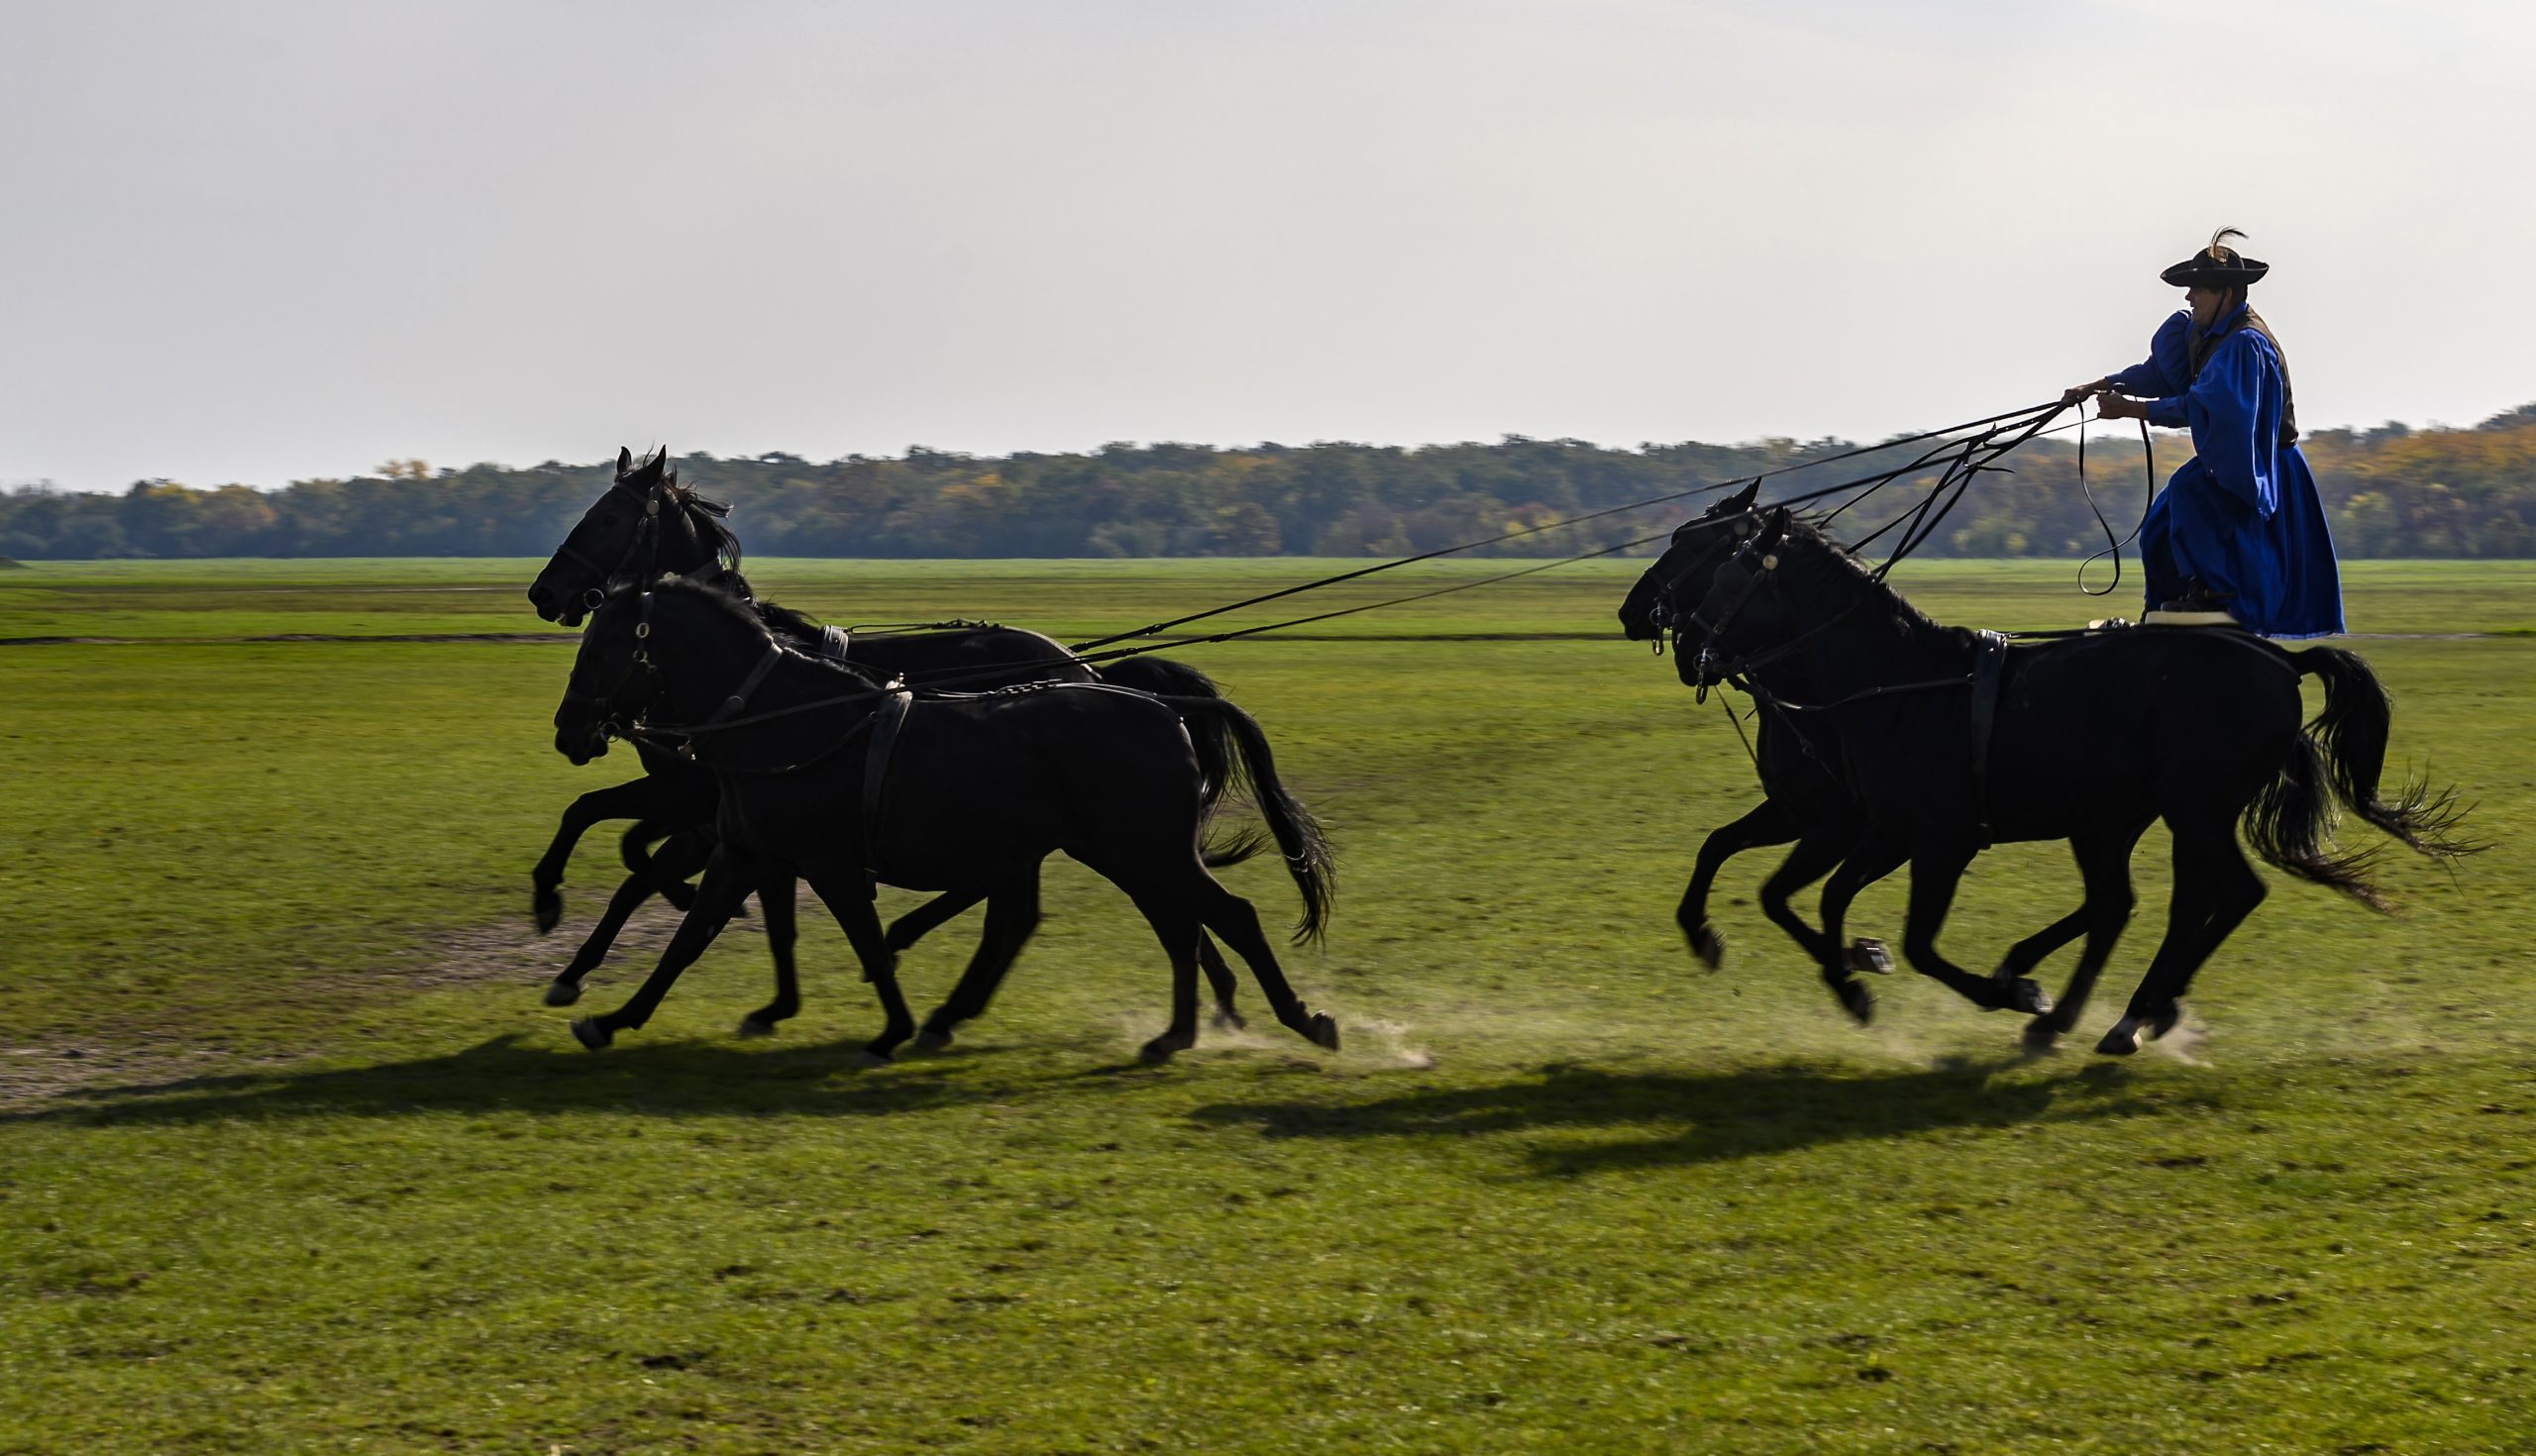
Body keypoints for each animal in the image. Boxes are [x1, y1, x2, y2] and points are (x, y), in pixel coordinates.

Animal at [555, 575, 1348, 1065]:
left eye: (605, 646)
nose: (570, 731)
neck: (787, 719)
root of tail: (1160, 705)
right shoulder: (742, 854)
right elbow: (686, 940)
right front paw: (613, 1017)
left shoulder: (830, 865)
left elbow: (867, 944)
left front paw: (892, 1028)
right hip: (1125, 854)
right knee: (1173, 927)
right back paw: (1174, 1034)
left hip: (1141, 852)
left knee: (1224, 917)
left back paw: (1299, 1020)